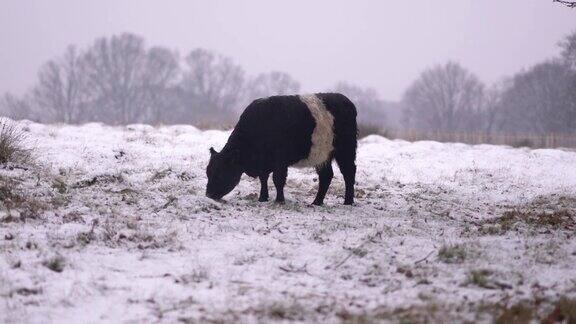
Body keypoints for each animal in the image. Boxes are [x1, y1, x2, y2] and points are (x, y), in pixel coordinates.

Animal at [205, 92, 358, 206]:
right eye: (208, 172)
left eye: (220, 172)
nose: (208, 194)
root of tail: (346, 100)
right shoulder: (265, 163)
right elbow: (263, 179)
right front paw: (263, 198)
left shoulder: (280, 161)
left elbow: (278, 180)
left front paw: (279, 200)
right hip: (322, 155)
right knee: (326, 176)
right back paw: (316, 202)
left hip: (346, 150)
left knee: (349, 172)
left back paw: (348, 201)